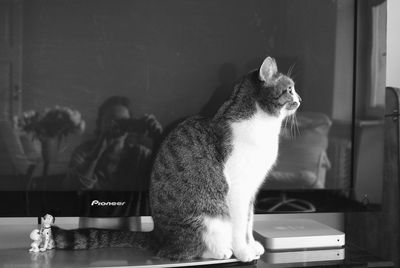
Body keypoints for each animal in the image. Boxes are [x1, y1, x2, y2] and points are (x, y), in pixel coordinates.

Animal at [49, 55, 300, 262]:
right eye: (289, 89)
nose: (300, 98)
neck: (263, 125)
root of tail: (157, 236)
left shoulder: (252, 190)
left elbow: (249, 223)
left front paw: (252, 245)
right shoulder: (238, 189)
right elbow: (240, 226)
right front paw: (244, 252)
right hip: (208, 218)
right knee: (183, 252)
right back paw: (222, 251)